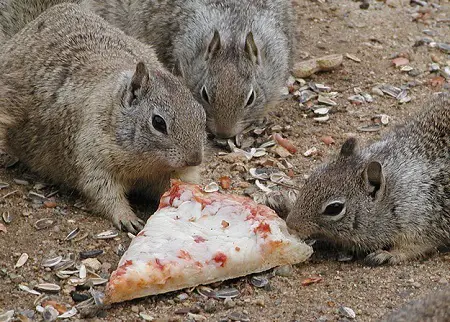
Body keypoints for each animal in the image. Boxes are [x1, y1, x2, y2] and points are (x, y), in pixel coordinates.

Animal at [0, 3, 207, 233]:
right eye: (158, 123)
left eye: (202, 114)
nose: (195, 159)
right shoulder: (92, 160)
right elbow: (104, 193)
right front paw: (127, 217)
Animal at [268, 92, 448, 264]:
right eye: (309, 180)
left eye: (334, 208)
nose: (290, 225)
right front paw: (283, 204)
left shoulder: (423, 222)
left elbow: (415, 247)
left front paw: (388, 254)